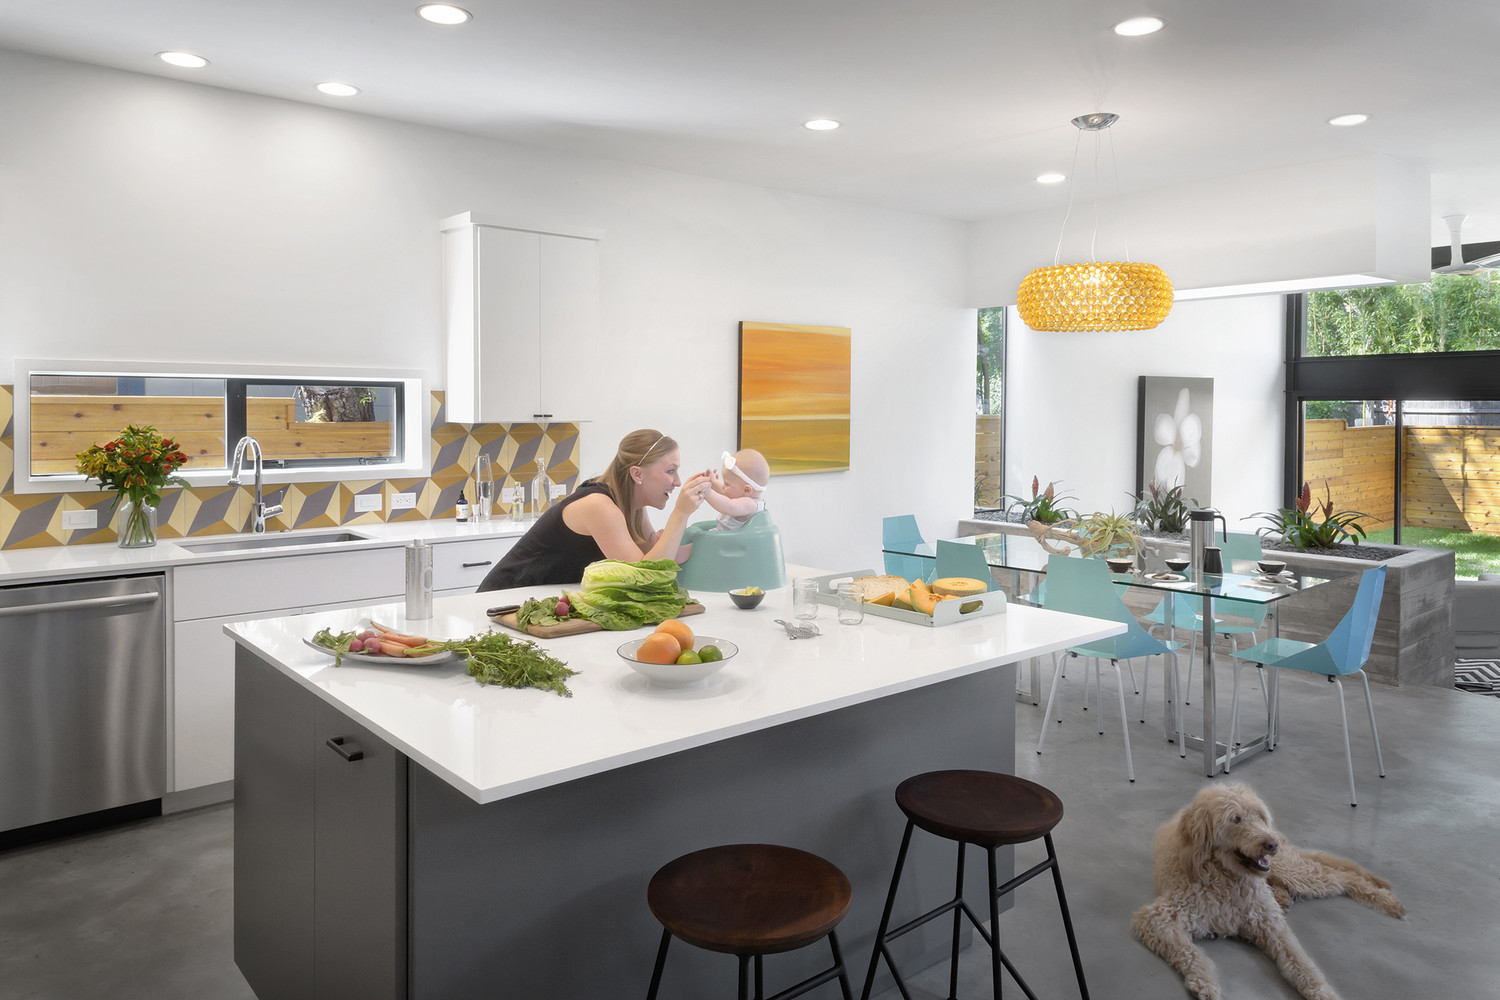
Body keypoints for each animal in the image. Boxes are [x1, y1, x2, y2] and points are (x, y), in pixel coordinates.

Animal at [1134, 785, 1404, 995]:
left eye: (1260, 816)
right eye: (1236, 819)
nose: (1271, 844)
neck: (1228, 878)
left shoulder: (1270, 924)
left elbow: (1300, 962)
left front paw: (1323, 992)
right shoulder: (1157, 917)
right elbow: (1190, 953)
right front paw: (1205, 983)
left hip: (1290, 870)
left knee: (1343, 877)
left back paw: (1387, 901)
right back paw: (1282, 897)